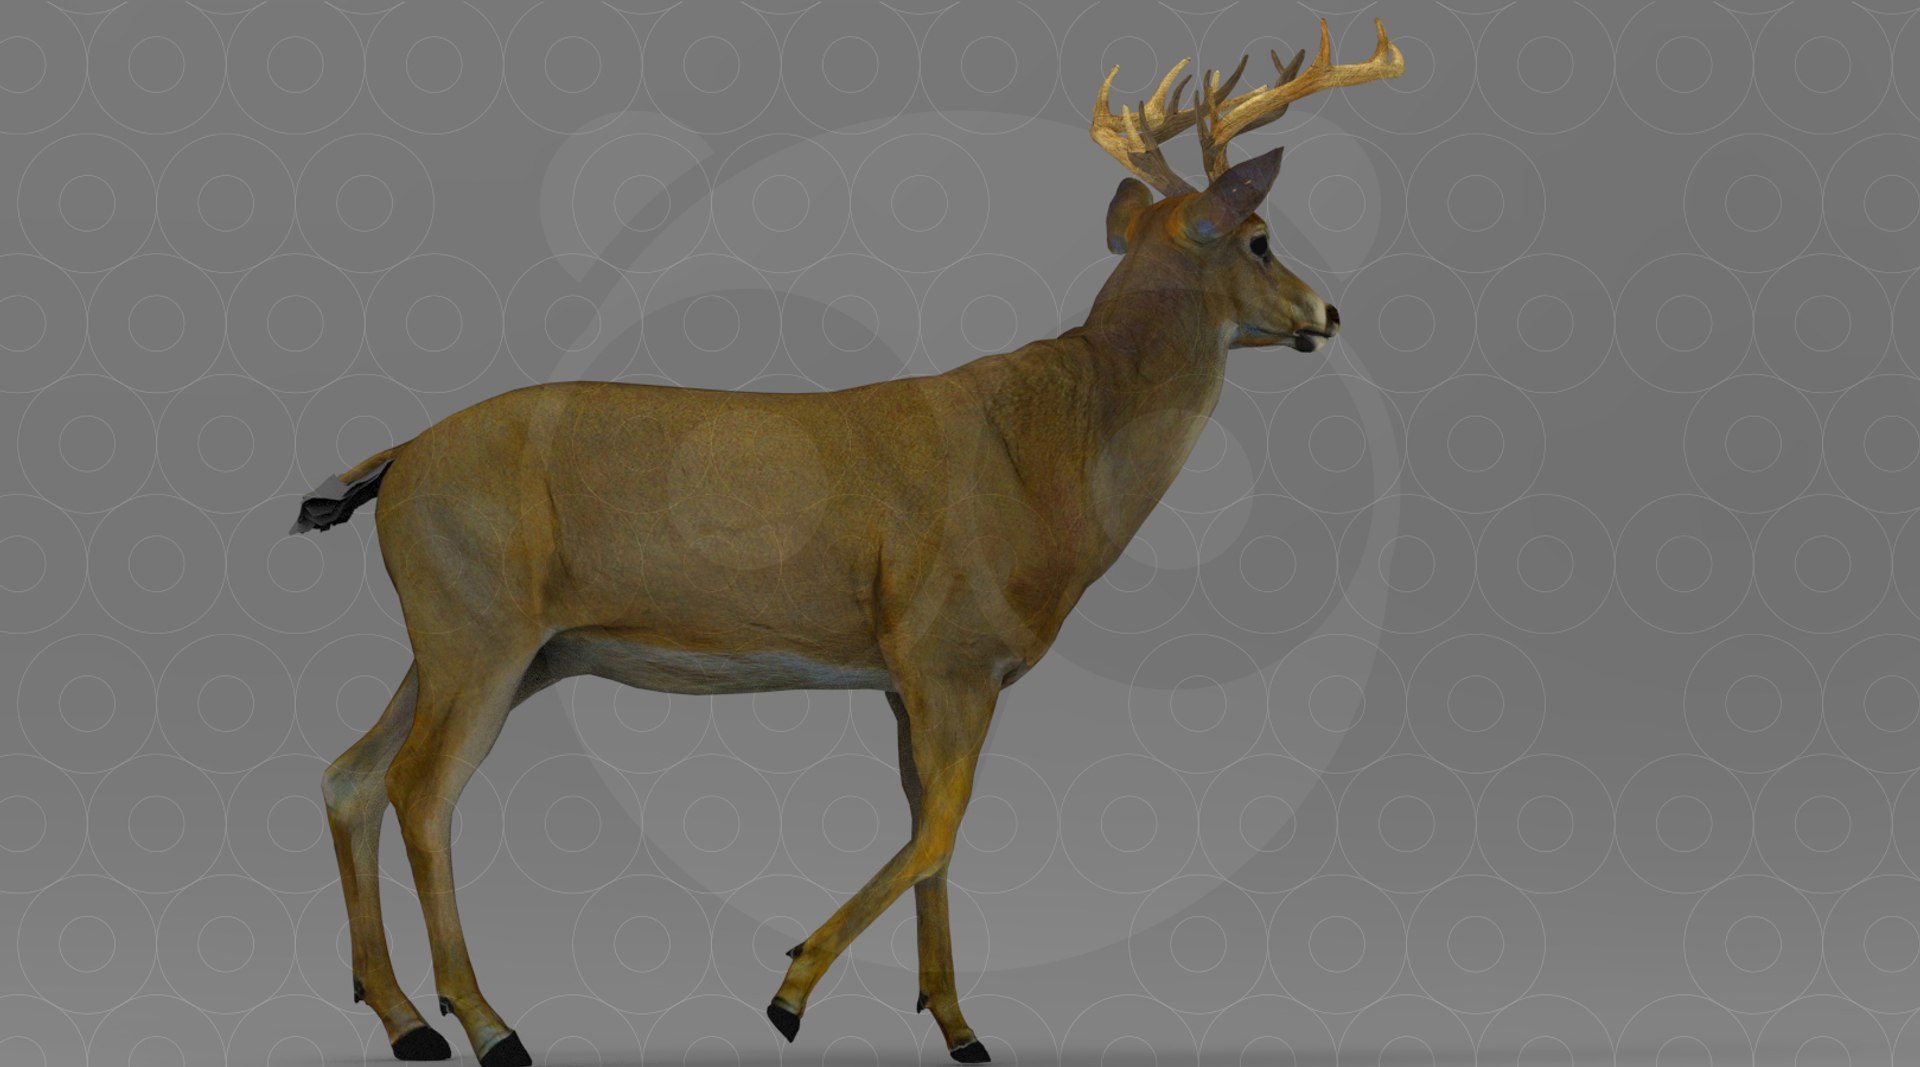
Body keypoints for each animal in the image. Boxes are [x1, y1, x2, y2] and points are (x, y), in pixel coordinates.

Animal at [299, 19, 1403, 1066]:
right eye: (1259, 237)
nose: (1330, 312)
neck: (1051, 456)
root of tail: (396, 463)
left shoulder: (905, 676)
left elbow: (931, 828)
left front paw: (957, 1025)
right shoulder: (949, 649)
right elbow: (946, 823)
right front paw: (789, 988)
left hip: (480, 641)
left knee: (350, 774)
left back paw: (406, 1018)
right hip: (480, 624)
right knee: (419, 790)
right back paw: (489, 1024)